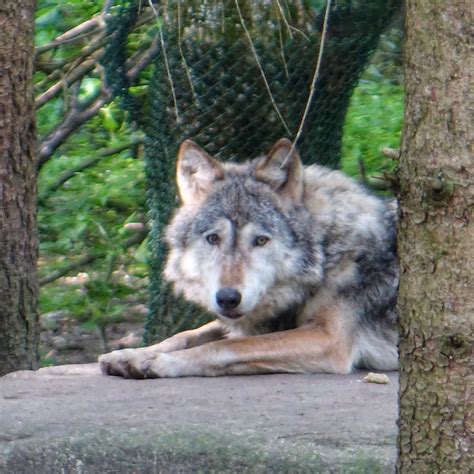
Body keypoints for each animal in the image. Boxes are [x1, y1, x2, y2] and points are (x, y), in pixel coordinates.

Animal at [100, 138, 400, 378]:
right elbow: (185, 335)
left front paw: (161, 362)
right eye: (213, 238)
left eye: (260, 240)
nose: (228, 298)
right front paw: (132, 354)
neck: (326, 254)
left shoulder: (329, 339)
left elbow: (223, 346)